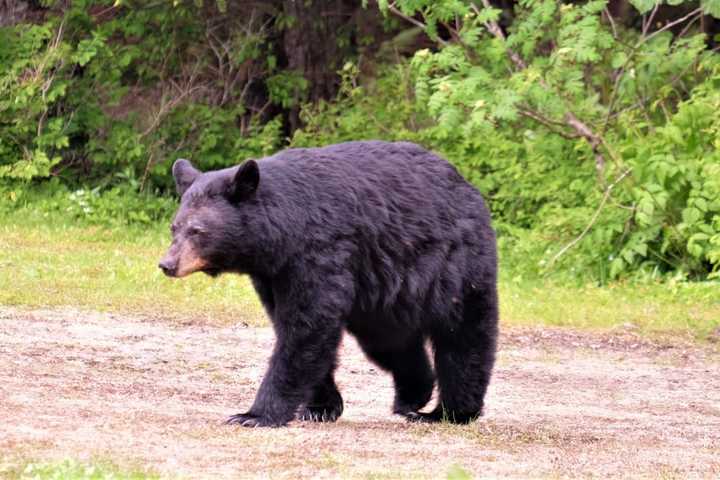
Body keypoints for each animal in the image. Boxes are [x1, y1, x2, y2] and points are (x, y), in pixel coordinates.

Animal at [158, 141, 498, 426]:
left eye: (197, 230)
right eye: (175, 226)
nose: (167, 264)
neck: (283, 233)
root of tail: (468, 187)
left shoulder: (319, 252)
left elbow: (307, 326)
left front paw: (254, 414)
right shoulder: (273, 274)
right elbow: (294, 327)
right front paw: (321, 407)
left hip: (454, 266)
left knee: (463, 337)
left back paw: (450, 412)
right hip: (383, 295)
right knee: (391, 342)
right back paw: (412, 396)